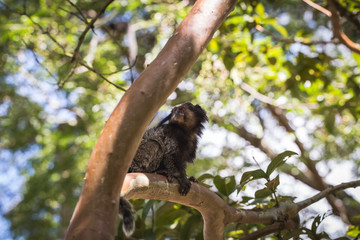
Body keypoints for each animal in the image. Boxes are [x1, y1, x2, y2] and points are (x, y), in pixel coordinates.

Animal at [119, 102, 208, 237]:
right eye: (175, 111)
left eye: (181, 109)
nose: (177, 113)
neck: (185, 132)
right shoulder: (171, 135)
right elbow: (170, 155)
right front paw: (181, 178)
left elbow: (181, 163)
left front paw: (189, 178)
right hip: (137, 157)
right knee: (155, 143)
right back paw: (151, 171)